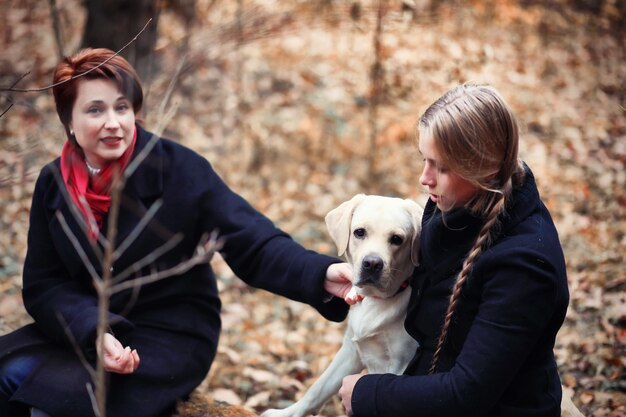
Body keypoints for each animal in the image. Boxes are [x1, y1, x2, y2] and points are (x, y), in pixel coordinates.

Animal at [260, 193, 422, 416]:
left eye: (397, 239)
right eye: (359, 232)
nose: (372, 263)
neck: (374, 300)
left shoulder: (401, 363)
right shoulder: (350, 352)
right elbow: (318, 388)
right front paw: (288, 412)